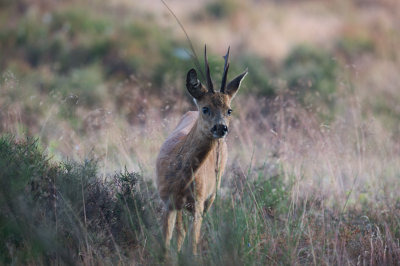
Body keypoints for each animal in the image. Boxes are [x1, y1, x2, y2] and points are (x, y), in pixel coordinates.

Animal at [156, 46, 247, 255]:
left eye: (229, 110)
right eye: (205, 108)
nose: (221, 128)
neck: (181, 179)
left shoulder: (197, 203)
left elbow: (193, 245)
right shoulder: (167, 201)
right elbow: (165, 245)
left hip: (212, 194)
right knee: (180, 232)